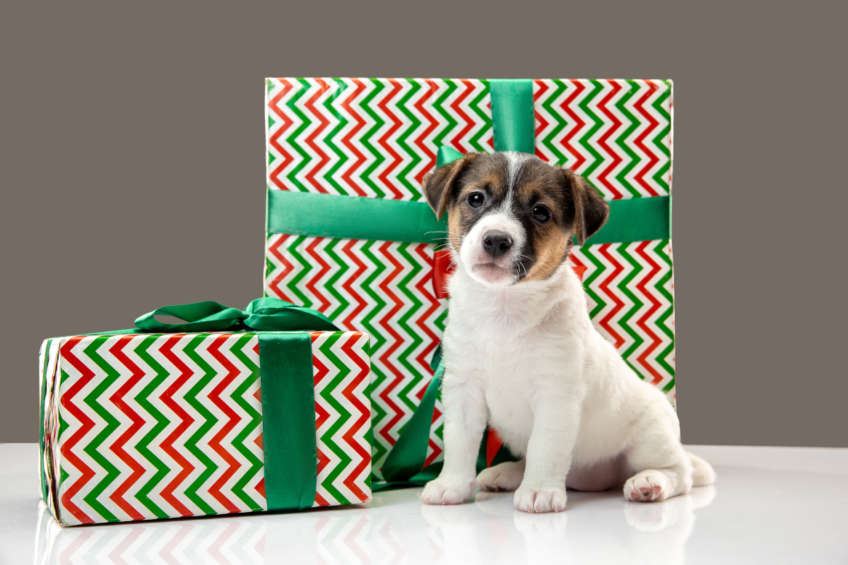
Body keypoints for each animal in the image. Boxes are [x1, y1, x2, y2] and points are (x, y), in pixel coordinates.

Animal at [420, 150, 712, 512]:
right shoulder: (464, 389)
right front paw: (452, 485)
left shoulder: (556, 393)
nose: (496, 240)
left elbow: (545, 446)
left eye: (540, 212)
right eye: (475, 198)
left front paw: (539, 491)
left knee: (679, 473)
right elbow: (460, 441)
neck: (505, 308)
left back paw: (649, 483)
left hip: (651, 437)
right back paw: (507, 472)